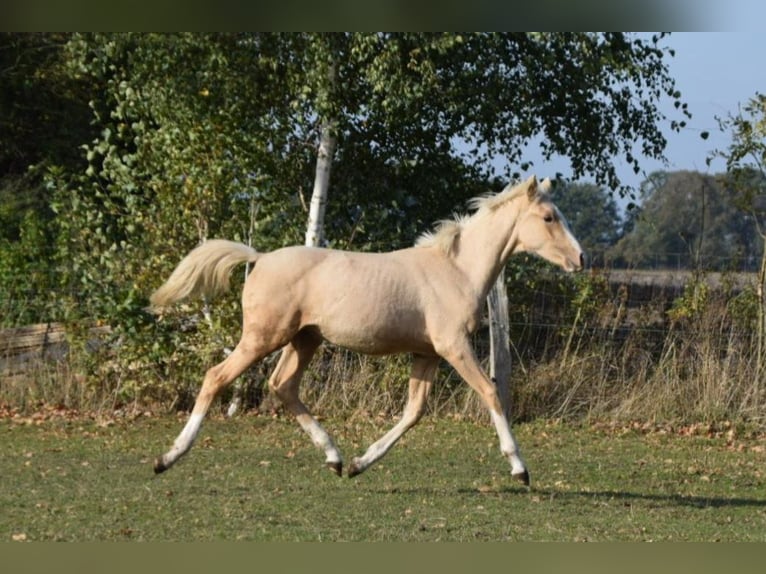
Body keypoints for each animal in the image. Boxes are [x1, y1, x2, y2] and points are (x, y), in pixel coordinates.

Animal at [150, 176, 584, 486]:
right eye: (549, 218)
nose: (581, 258)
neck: (456, 270)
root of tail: (259, 258)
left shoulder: (426, 353)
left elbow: (413, 412)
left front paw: (361, 463)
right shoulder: (453, 347)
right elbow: (491, 392)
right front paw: (520, 468)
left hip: (304, 339)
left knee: (283, 385)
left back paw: (335, 458)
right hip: (263, 337)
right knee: (215, 377)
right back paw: (167, 457)